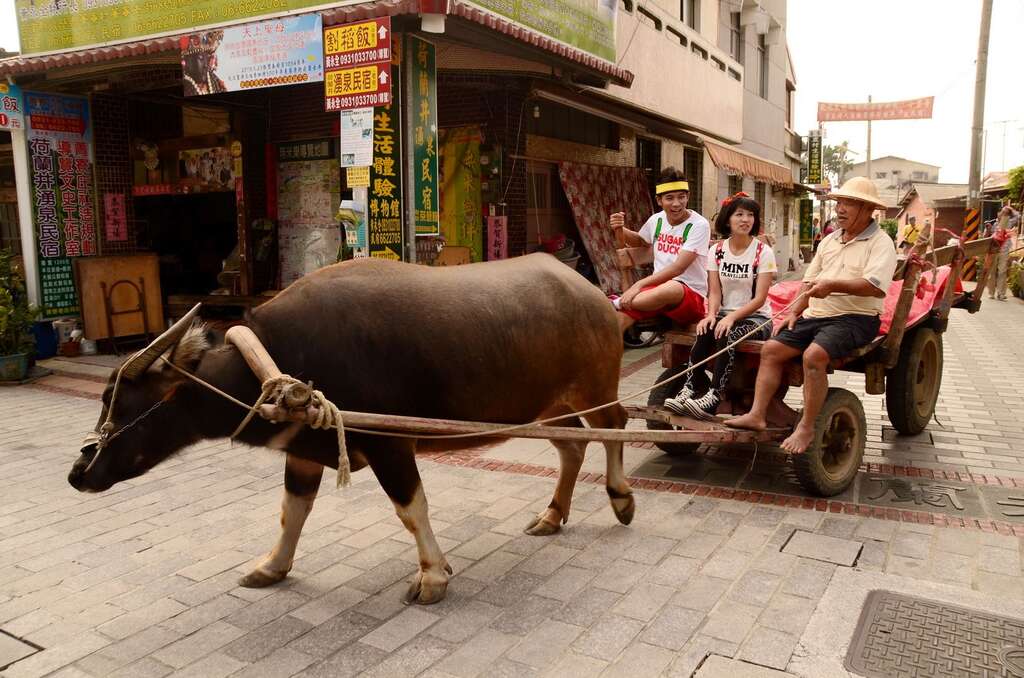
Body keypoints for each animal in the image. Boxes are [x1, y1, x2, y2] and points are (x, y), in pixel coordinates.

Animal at [68, 255, 630, 606]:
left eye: (123, 398)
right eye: (106, 394)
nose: (79, 471)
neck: (277, 356)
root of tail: (593, 293)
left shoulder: (390, 445)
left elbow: (411, 508)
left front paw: (432, 577)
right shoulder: (303, 446)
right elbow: (292, 511)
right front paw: (271, 567)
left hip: (596, 389)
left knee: (615, 428)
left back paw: (622, 498)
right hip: (548, 407)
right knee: (573, 446)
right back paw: (552, 515)